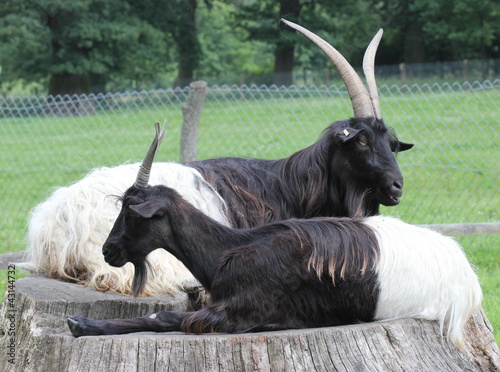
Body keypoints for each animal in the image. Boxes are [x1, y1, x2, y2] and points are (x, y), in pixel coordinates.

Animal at [66, 123, 480, 350]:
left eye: (131, 213)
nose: (108, 250)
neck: (231, 249)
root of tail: (466, 276)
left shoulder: (237, 311)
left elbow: (167, 317)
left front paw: (82, 324)